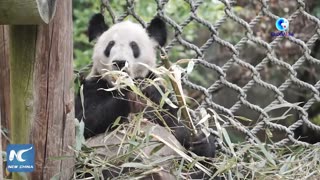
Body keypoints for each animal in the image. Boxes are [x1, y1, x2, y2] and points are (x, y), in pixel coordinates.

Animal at [74, 13, 215, 179]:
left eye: (134, 46)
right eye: (110, 45)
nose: (120, 62)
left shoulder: (163, 97)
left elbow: (176, 125)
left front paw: (201, 142)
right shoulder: (91, 87)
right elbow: (84, 123)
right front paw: (129, 95)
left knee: (199, 170)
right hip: (99, 162)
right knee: (105, 167)